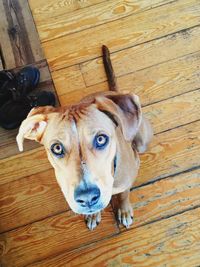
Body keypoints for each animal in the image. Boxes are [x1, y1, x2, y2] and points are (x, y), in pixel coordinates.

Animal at [16, 45, 153, 230]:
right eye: (57, 148)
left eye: (101, 139)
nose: (87, 198)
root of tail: (112, 91)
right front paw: (94, 214)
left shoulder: (124, 183)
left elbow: (124, 194)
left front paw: (124, 211)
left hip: (142, 141)